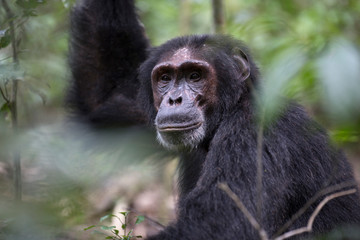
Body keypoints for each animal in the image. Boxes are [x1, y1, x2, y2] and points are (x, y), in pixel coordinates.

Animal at [67, 0, 360, 240]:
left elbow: (219, 225)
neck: (228, 112)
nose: (174, 99)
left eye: (195, 75)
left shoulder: (253, 136)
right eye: (165, 78)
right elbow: (105, 97)